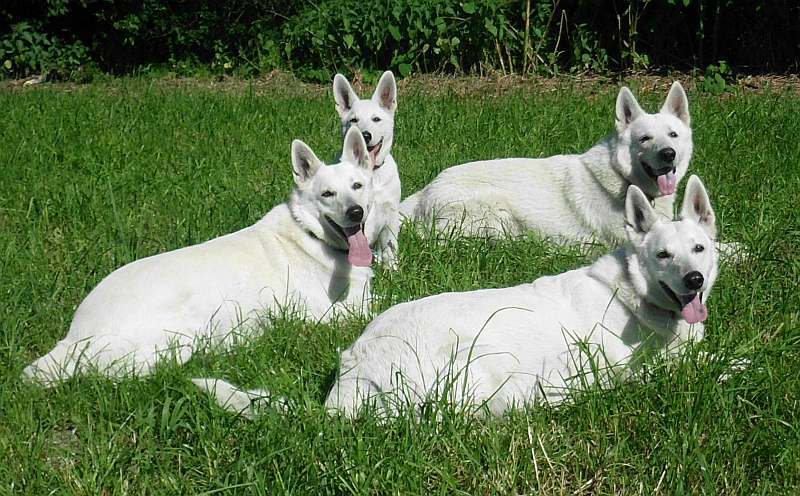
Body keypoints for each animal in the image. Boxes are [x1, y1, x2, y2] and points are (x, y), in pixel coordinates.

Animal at [21, 127, 378, 384]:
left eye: (357, 186)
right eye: (327, 194)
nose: (355, 212)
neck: (310, 234)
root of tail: (73, 336)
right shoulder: (322, 313)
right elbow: (369, 307)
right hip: (182, 336)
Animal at [198, 176, 720, 416]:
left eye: (698, 249)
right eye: (662, 255)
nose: (694, 280)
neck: (635, 292)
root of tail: (347, 378)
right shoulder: (641, 362)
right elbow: (710, 364)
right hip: (485, 359)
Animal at [334, 70, 404, 268]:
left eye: (376, 119)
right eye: (353, 120)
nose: (365, 135)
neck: (371, 172)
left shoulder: (390, 213)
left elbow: (390, 247)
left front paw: (392, 269)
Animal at [400, 83, 692, 246]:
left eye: (673, 135)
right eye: (645, 139)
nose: (668, 154)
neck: (623, 179)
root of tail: (424, 193)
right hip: (495, 216)